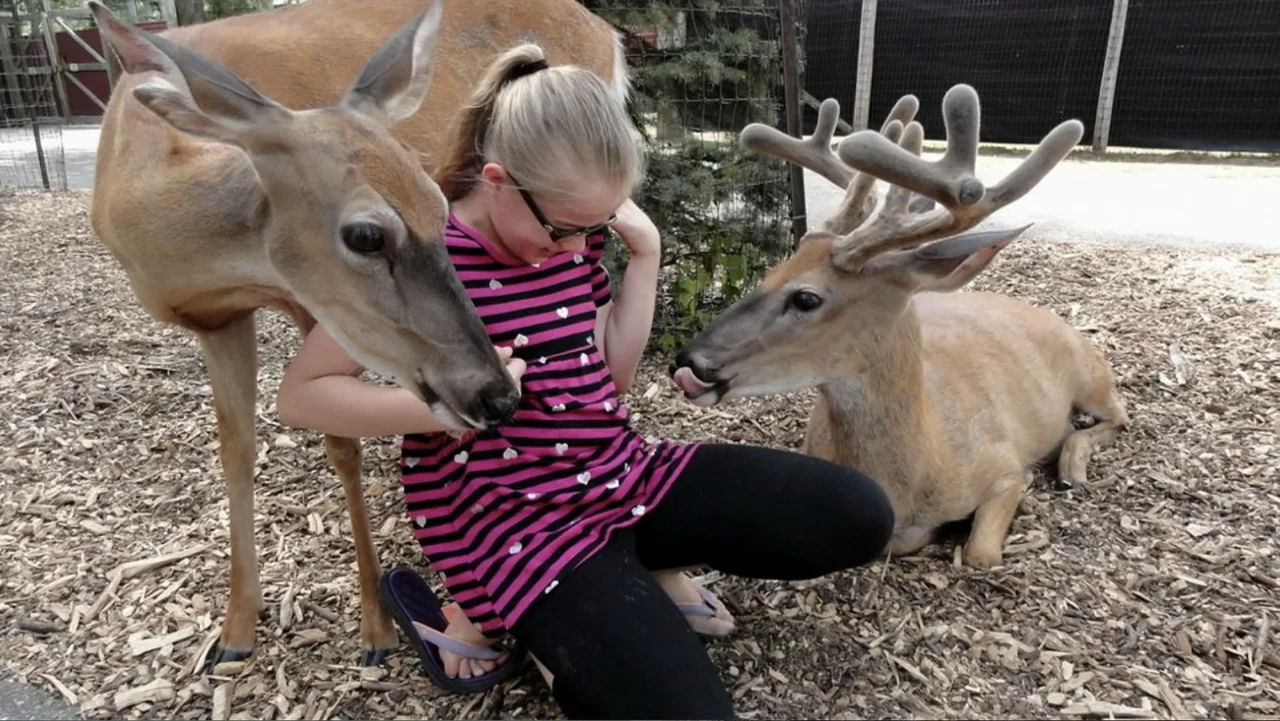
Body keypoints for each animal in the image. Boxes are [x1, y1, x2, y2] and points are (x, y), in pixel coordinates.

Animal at [86, 0, 626, 669]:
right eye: (367, 235)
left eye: (440, 207)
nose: (498, 394)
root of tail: (605, 30)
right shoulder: (217, 317)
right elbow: (236, 448)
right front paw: (236, 629)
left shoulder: (308, 304)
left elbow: (342, 446)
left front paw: (376, 625)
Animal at [670, 85, 1129, 569]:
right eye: (773, 271)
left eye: (807, 297)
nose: (689, 360)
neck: (921, 472)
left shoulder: (1006, 465)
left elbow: (981, 552)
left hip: (1091, 375)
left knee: (1118, 414)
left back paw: (1072, 467)